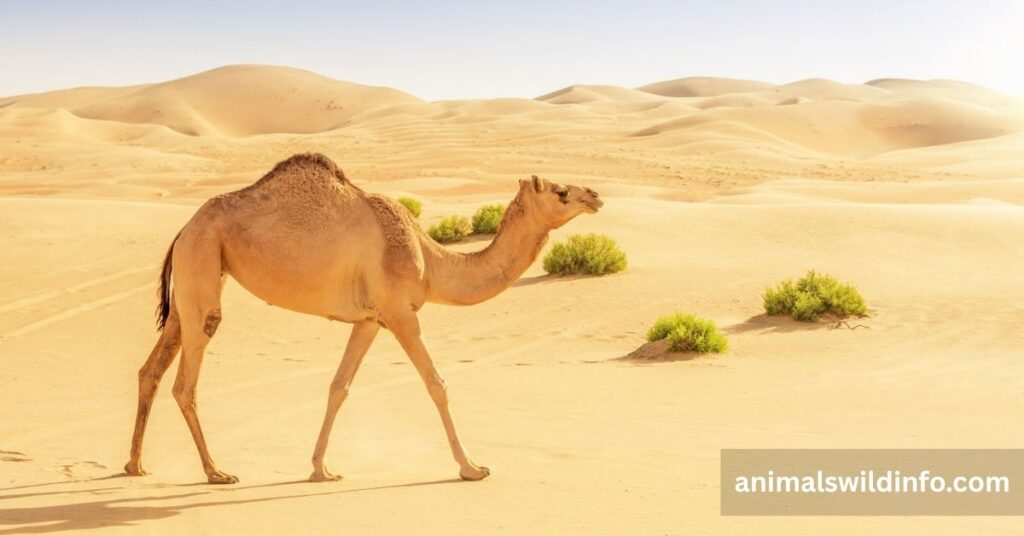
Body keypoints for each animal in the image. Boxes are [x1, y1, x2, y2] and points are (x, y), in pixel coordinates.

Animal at [124, 153, 602, 484]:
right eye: (560, 191)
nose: (595, 195)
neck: (430, 257)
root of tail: (183, 228)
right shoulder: (400, 312)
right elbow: (437, 384)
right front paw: (472, 467)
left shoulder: (370, 320)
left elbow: (339, 387)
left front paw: (321, 469)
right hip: (204, 266)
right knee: (186, 382)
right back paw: (216, 472)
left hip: (192, 281)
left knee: (152, 368)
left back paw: (135, 465)